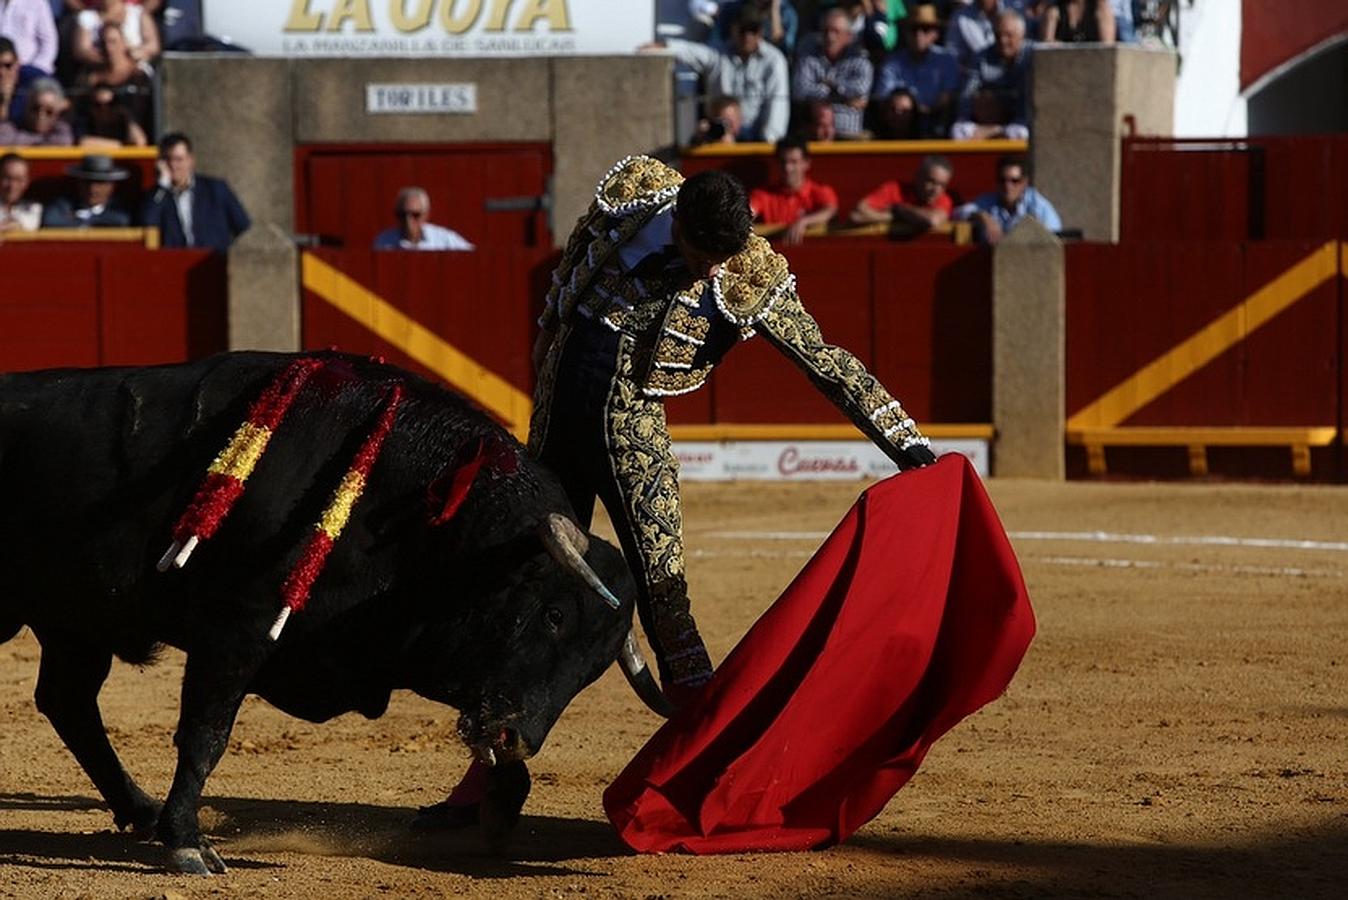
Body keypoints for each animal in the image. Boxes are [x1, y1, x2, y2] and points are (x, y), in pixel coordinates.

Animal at [0, 350, 671, 873]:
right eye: (554, 616)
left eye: (593, 670)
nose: (517, 739)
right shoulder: (237, 630)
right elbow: (205, 734)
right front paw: (189, 844)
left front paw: (501, 810)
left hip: (74, 623)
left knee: (68, 702)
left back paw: (139, 809)